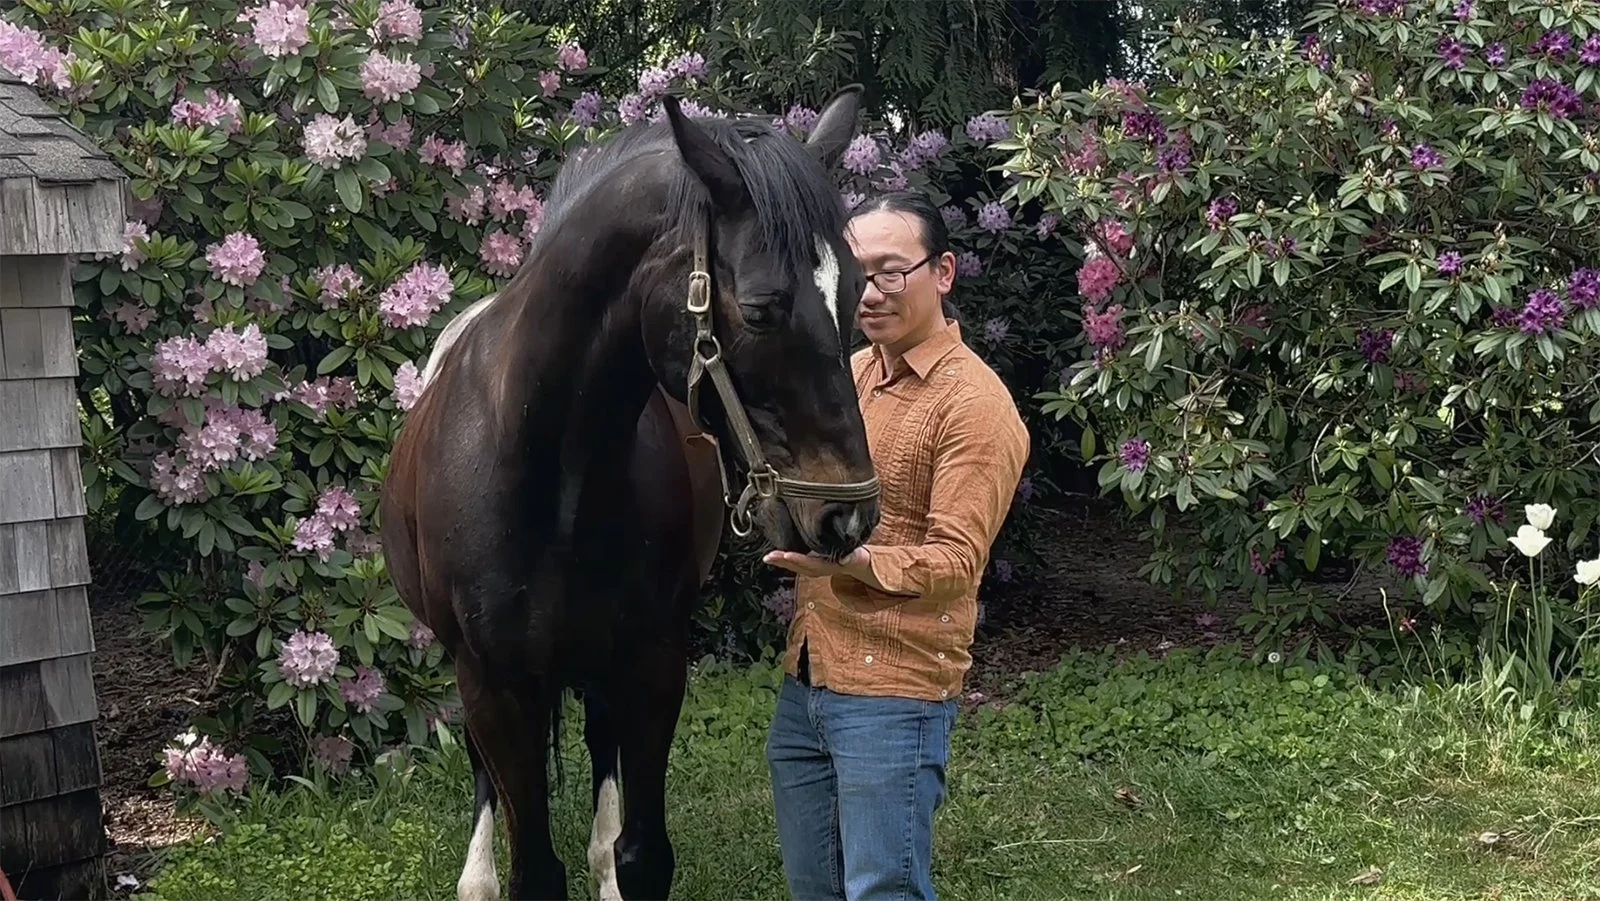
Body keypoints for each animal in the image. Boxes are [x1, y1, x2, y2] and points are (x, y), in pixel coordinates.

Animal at [378, 86, 882, 901]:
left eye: (861, 293)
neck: (553, 470)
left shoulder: (652, 661)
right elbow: (533, 867)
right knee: (488, 777)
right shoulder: (494, 681)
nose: (846, 514)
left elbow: (641, 855)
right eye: (763, 307)